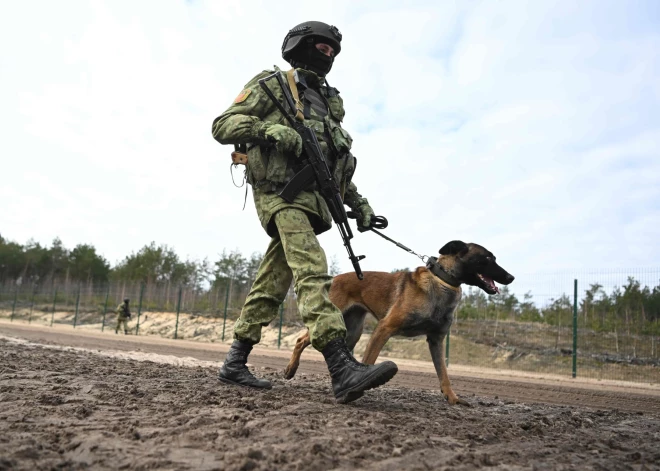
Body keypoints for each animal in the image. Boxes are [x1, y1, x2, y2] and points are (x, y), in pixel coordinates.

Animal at [284, 242, 516, 408]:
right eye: (488, 258)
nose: (511, 277)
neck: (441, 283)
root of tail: (332, 279)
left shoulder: (436, 341)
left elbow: (444, 374)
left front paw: (452, 397)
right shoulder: (384, 328)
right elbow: (369, 360)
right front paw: (361, 386)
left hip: (353, 331)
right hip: (332, 318)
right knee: (301, 339)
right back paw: (290, 369)